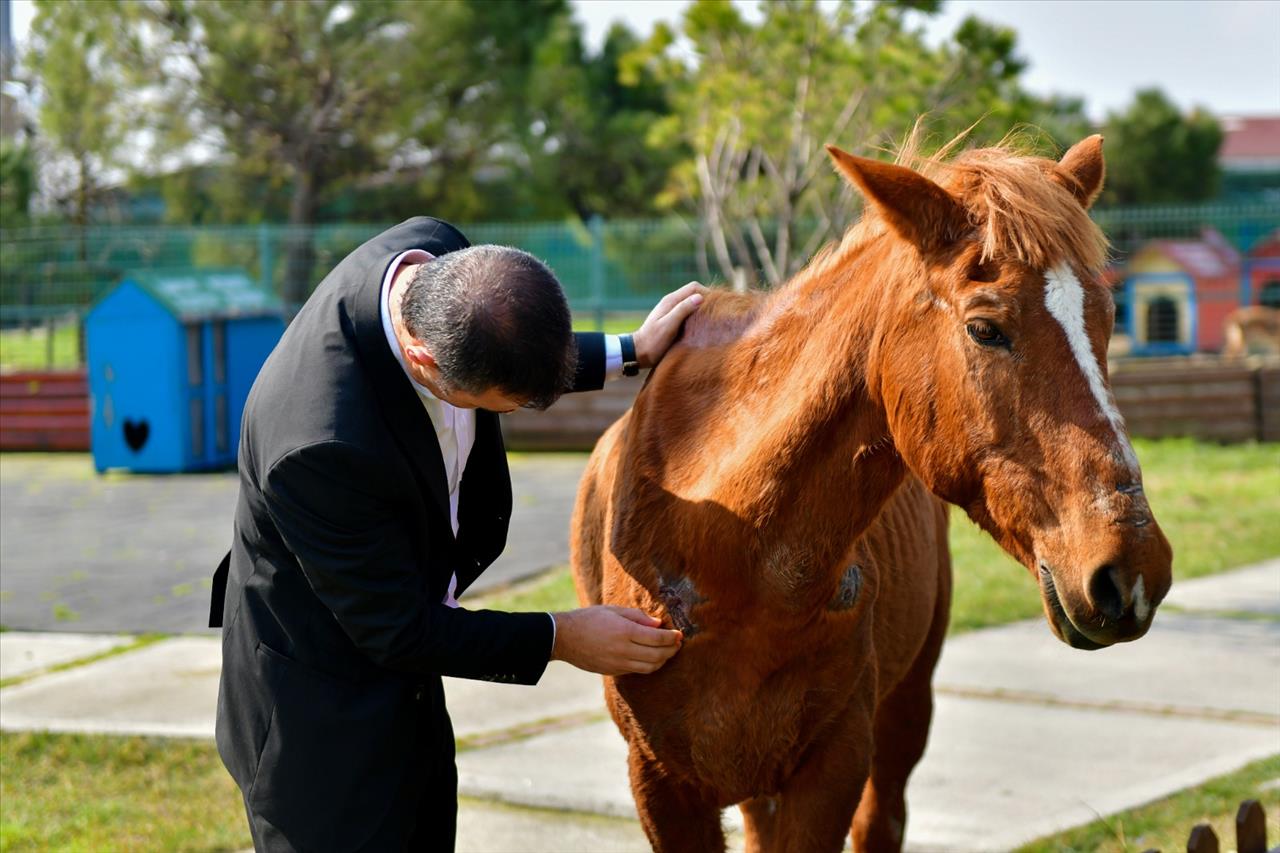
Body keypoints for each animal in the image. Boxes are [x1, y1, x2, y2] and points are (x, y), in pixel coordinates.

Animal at [570, 133, 1172, 850]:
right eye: (985, 328)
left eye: (1106, 320)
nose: (1132, 568)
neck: (727, 546)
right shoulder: (660, 784)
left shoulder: (834, 764)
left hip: (903, 712)